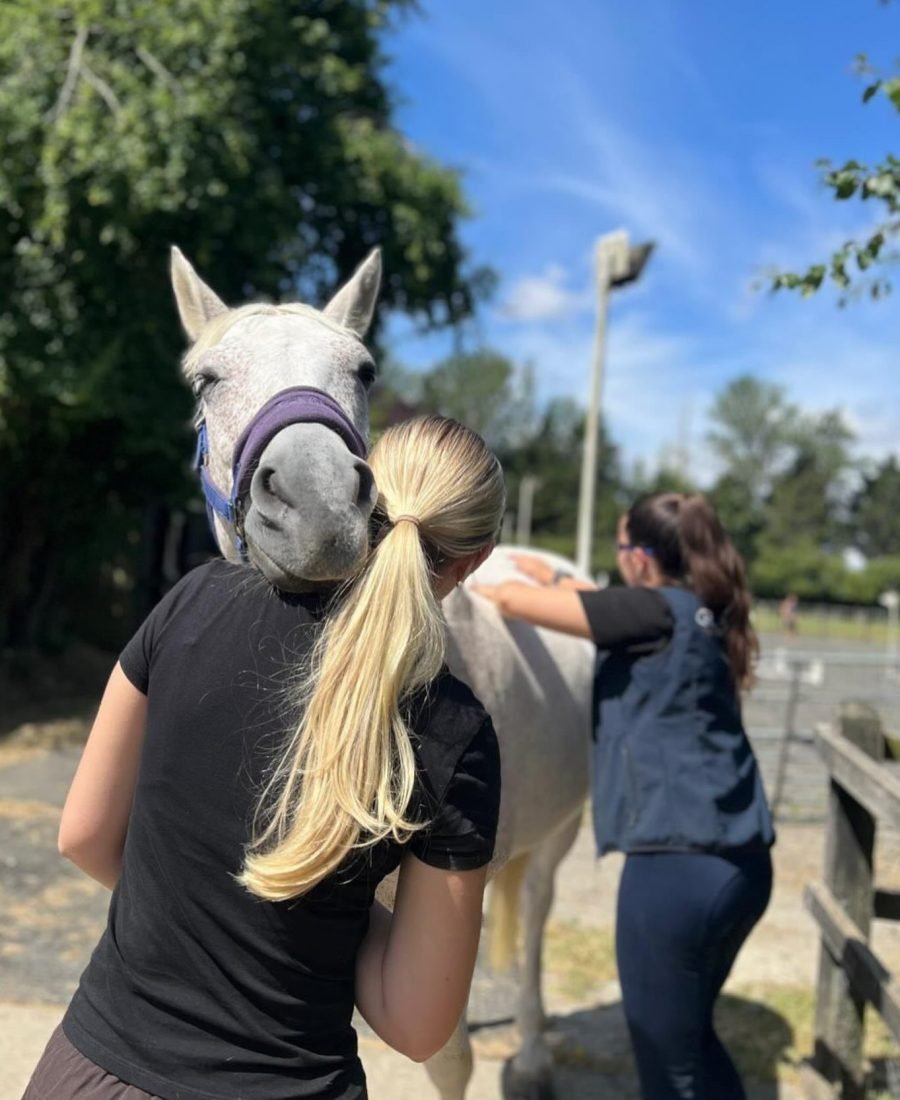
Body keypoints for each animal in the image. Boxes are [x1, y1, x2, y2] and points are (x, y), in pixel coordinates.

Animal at [169, 245, 594, 1100]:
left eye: (363, 370)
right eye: (207, 380)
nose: (318, 502)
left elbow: (448, 1055)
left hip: (559, 833)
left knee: (534, 921)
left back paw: (533, 1057)